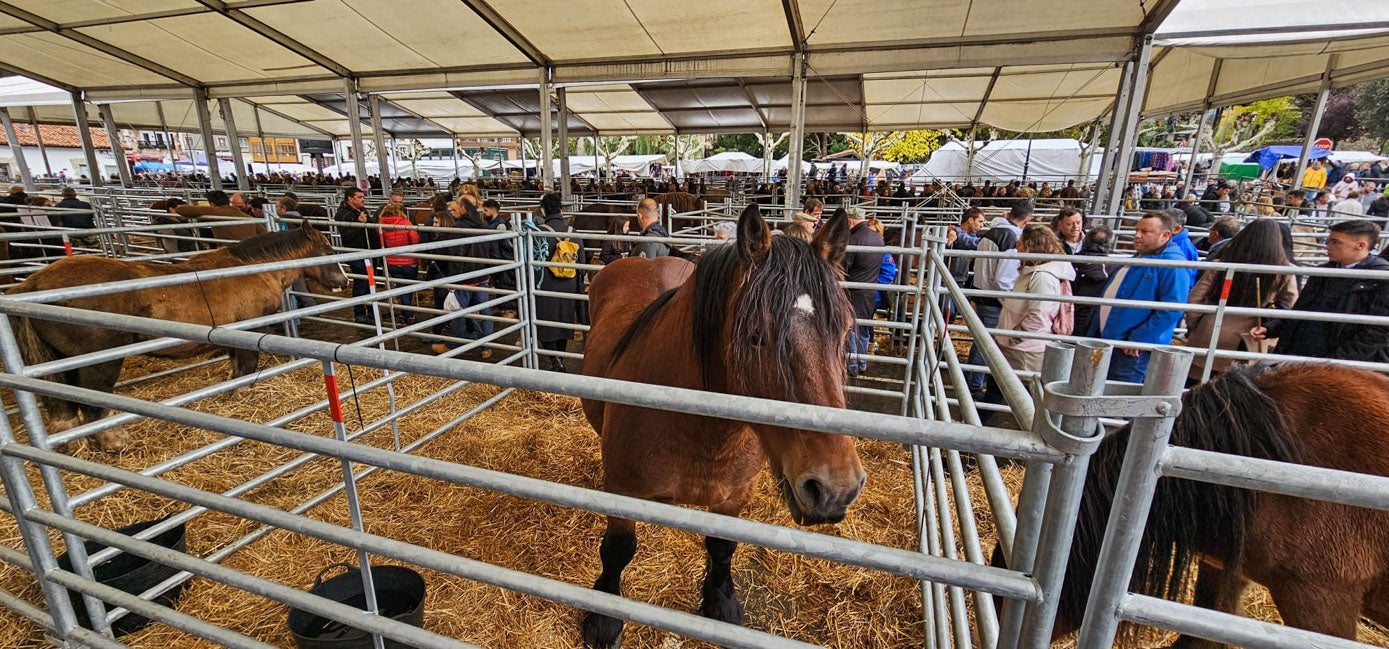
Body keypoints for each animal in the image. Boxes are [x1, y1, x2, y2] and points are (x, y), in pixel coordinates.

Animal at [9, 222, 352, 453]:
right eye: (327, 251)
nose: (344, 281)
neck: (251, 269)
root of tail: (34, 284)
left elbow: (235, 367)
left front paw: (233, 392)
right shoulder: (248, 329)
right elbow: (247, 366)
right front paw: (243, 394)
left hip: (60, 360)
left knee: (64, 410)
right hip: (99, 362)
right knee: (93, 404)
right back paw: (114, 441)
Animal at [577, 205, 861, 647]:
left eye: (845, 330)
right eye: (756, 335)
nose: (835, 489)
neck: (700, 432)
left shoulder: (735, 495)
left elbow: (722, 546)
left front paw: (720, 602)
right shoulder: (622, 490)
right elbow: (618, 549)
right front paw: (603, 617)